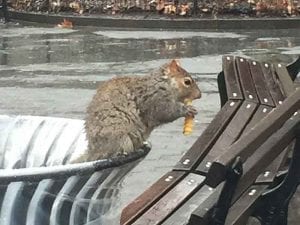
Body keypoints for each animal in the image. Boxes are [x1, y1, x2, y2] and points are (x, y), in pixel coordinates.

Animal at [72, 59, 202, 163]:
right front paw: (186, 109)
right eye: (187, 82)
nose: (199, 95)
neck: (164, 84)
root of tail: (94, 151)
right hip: (120, 137)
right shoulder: (155, 100)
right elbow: (166, 112)